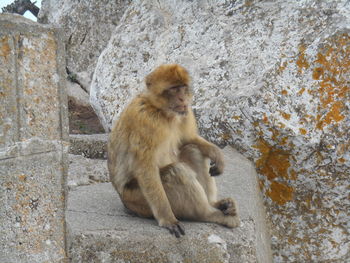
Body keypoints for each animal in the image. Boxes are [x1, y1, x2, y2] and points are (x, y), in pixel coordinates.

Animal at [108, 64, 241, 239]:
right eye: (173, 89)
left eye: (183, 88)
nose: (183, 99)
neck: (161, 111)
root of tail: (124, 201)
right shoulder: (145, 121)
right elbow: (146, 168)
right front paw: (167, 219)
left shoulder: (185, 113)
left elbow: (187, 139)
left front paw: (216, 153)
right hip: (137, 200)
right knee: (176, 171)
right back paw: (208, 214)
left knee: (193, 150)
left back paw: (215, 204)